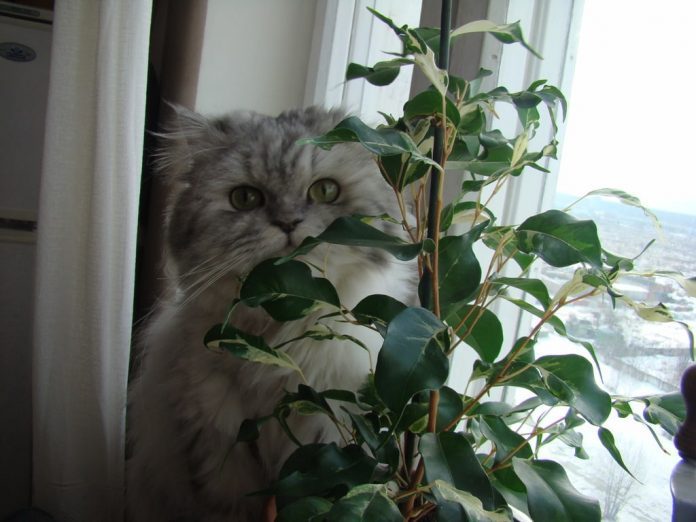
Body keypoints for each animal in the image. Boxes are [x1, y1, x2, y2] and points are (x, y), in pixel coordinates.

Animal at [126, 104, 414, 516]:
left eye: (325, 191)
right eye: (245, 198)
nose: (288, 223)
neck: (277, 340)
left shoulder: (330, 440)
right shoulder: (219, 447)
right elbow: (229, 505)